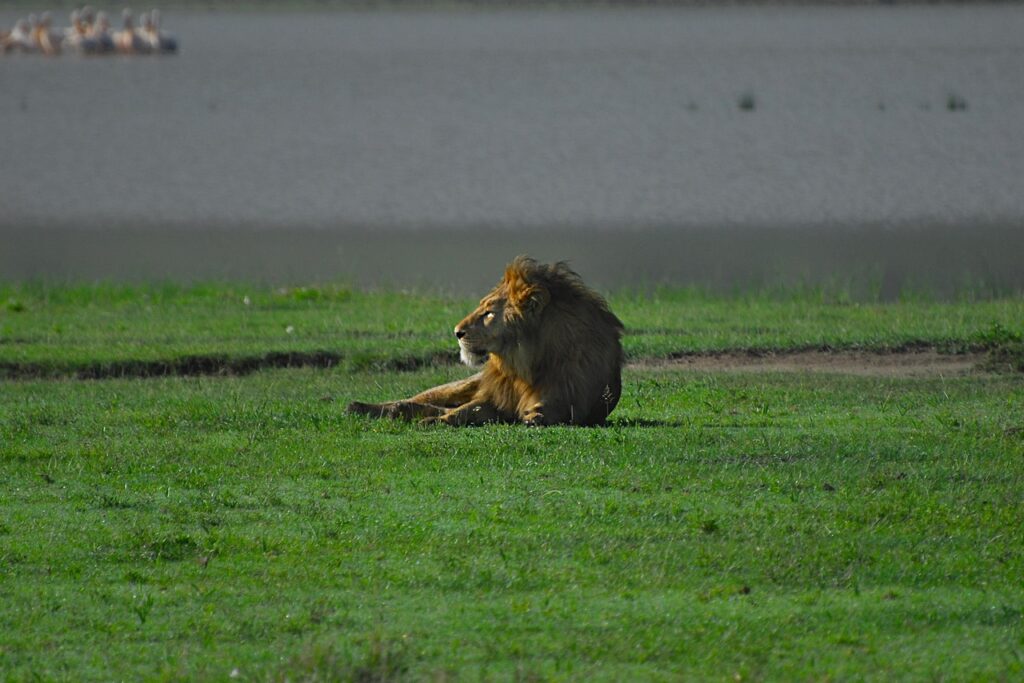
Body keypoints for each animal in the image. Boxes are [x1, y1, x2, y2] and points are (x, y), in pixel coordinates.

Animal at [347, 256, 625, 426]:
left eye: (489, 313)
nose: (457, 332)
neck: (524, 365)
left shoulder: (571, 397)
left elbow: (551, 408)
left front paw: (535, 416)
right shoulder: (494, 398)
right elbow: (462, 411)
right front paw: (434, 422)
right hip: (461, 385)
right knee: (417, 399)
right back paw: (360, 407)